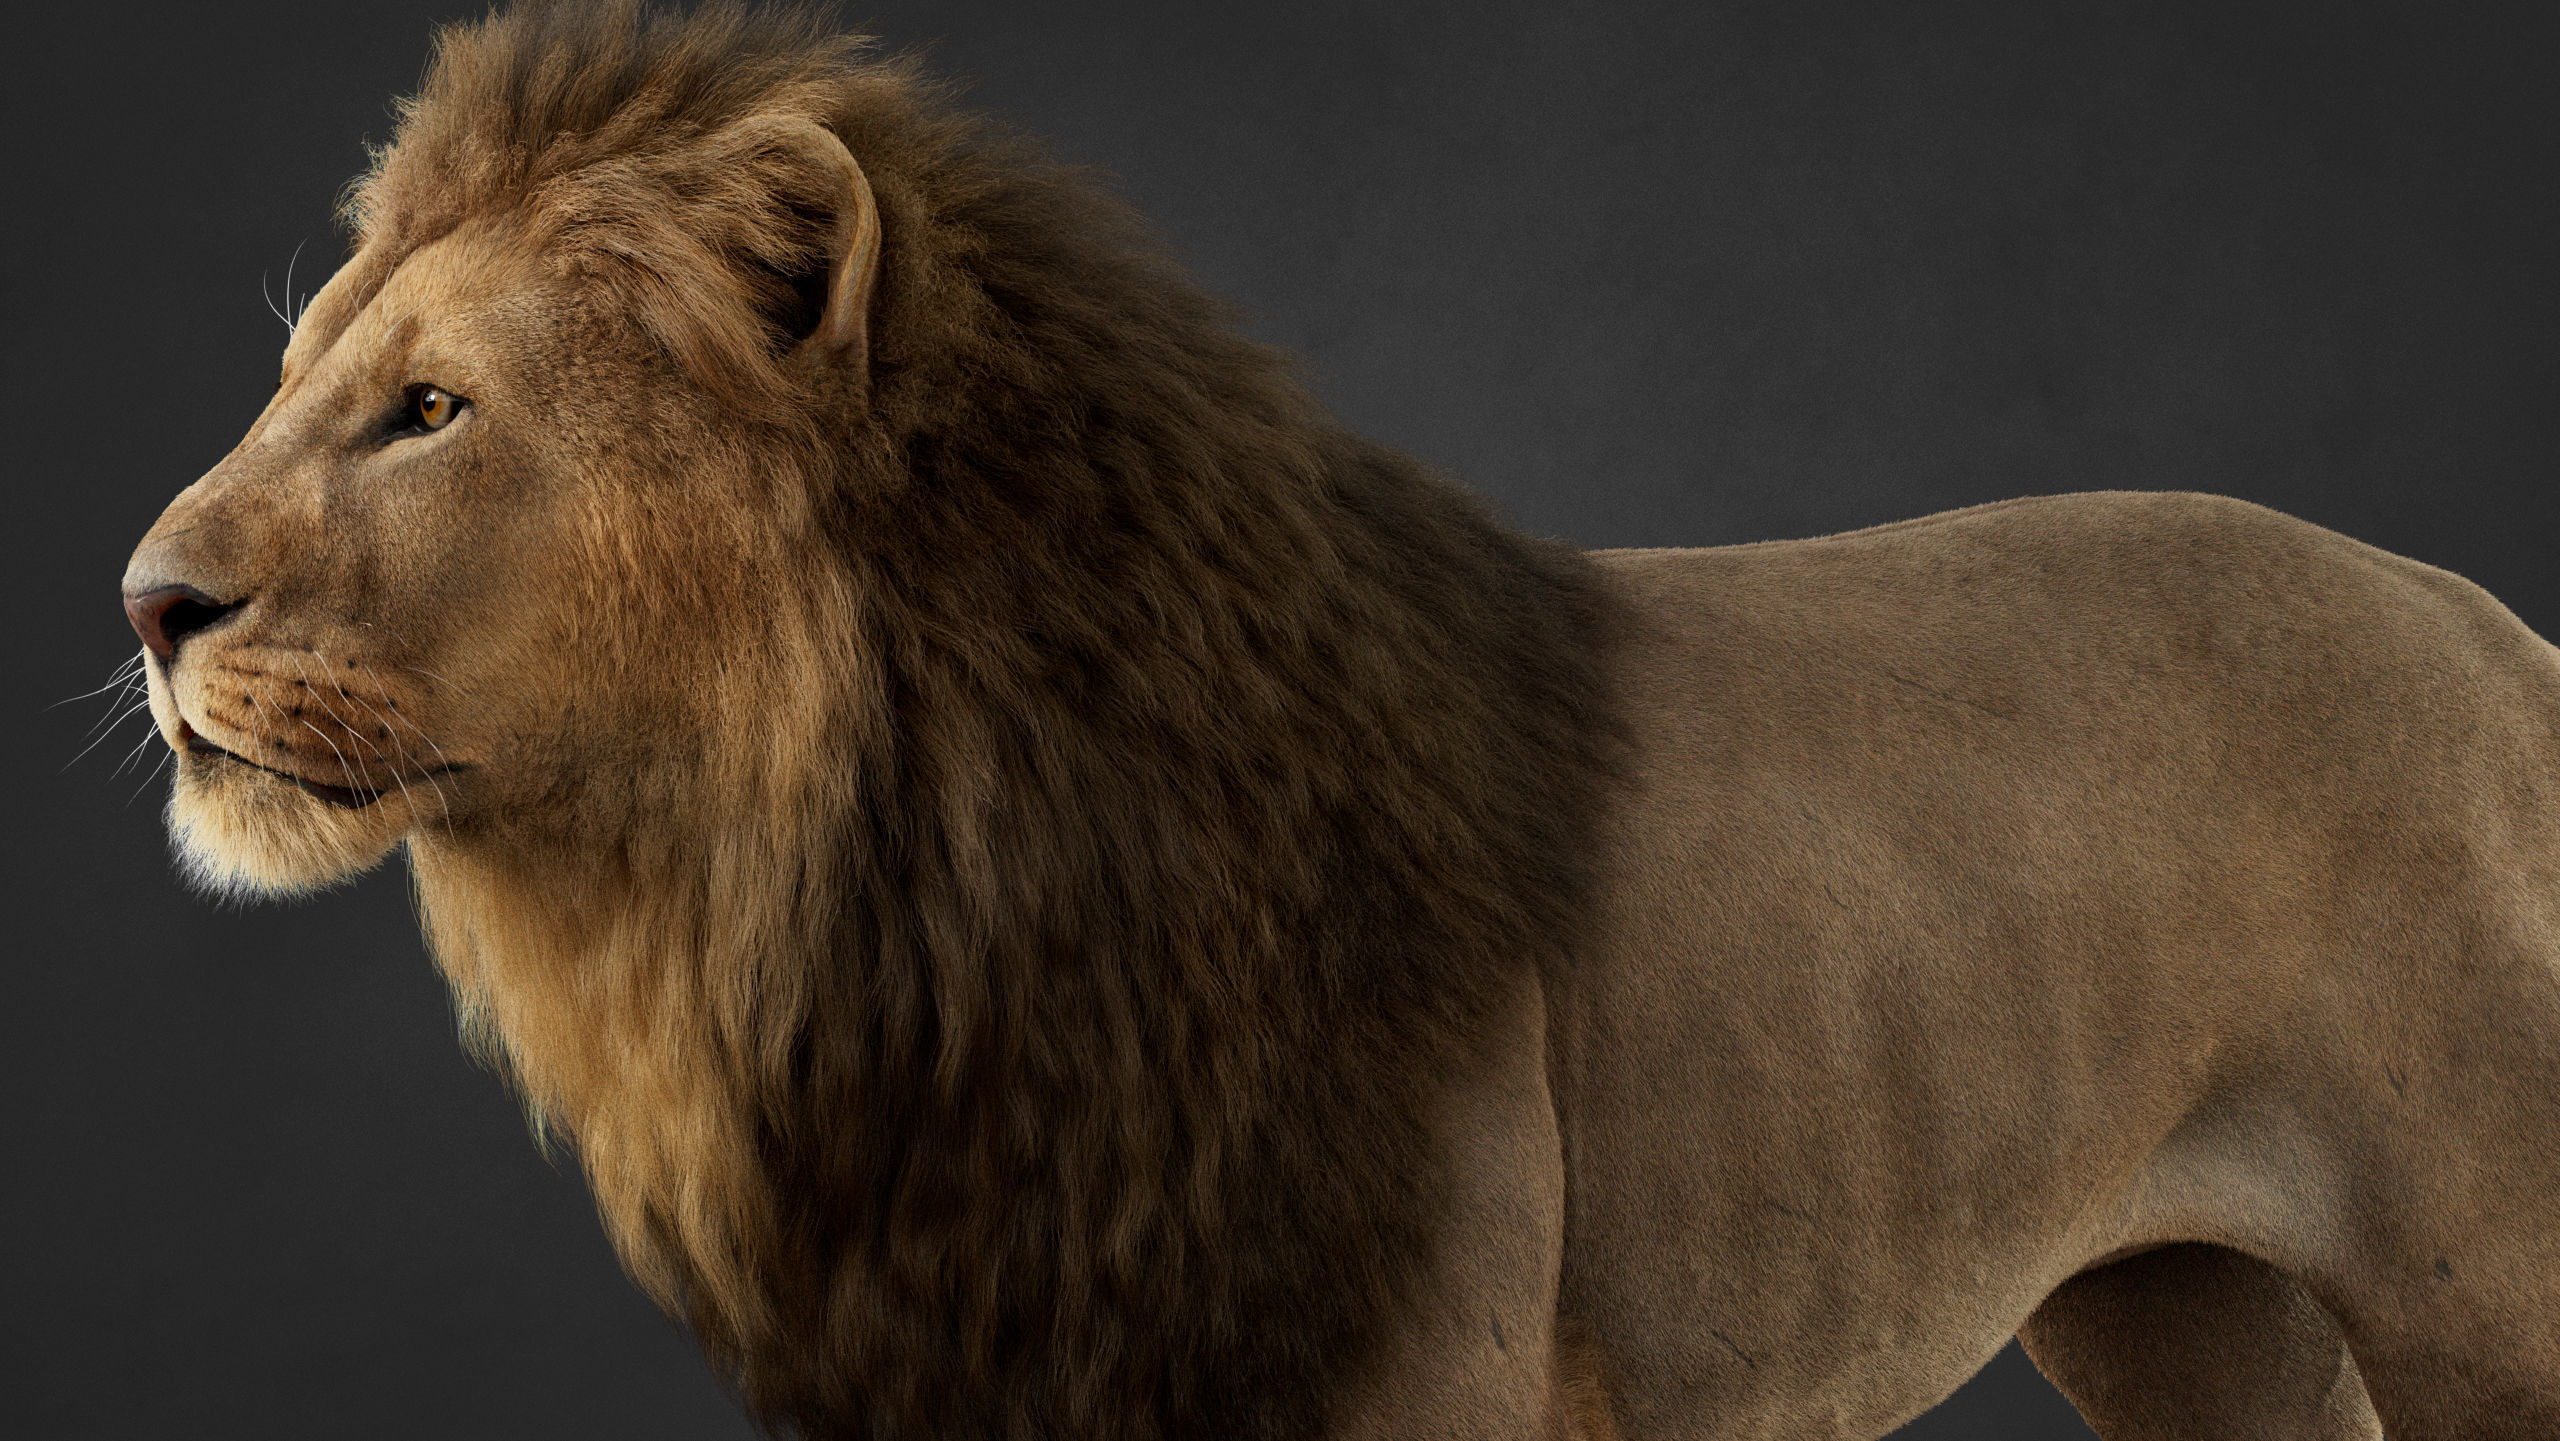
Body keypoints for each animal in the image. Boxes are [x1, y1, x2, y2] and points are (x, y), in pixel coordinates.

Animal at [118, 3, 2560, 1438]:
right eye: (299, 369)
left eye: (432, 410)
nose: (143, 602)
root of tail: (2489, 624)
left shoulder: (1410, 1369)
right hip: (2191, 1319)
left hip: (2485, 1297)